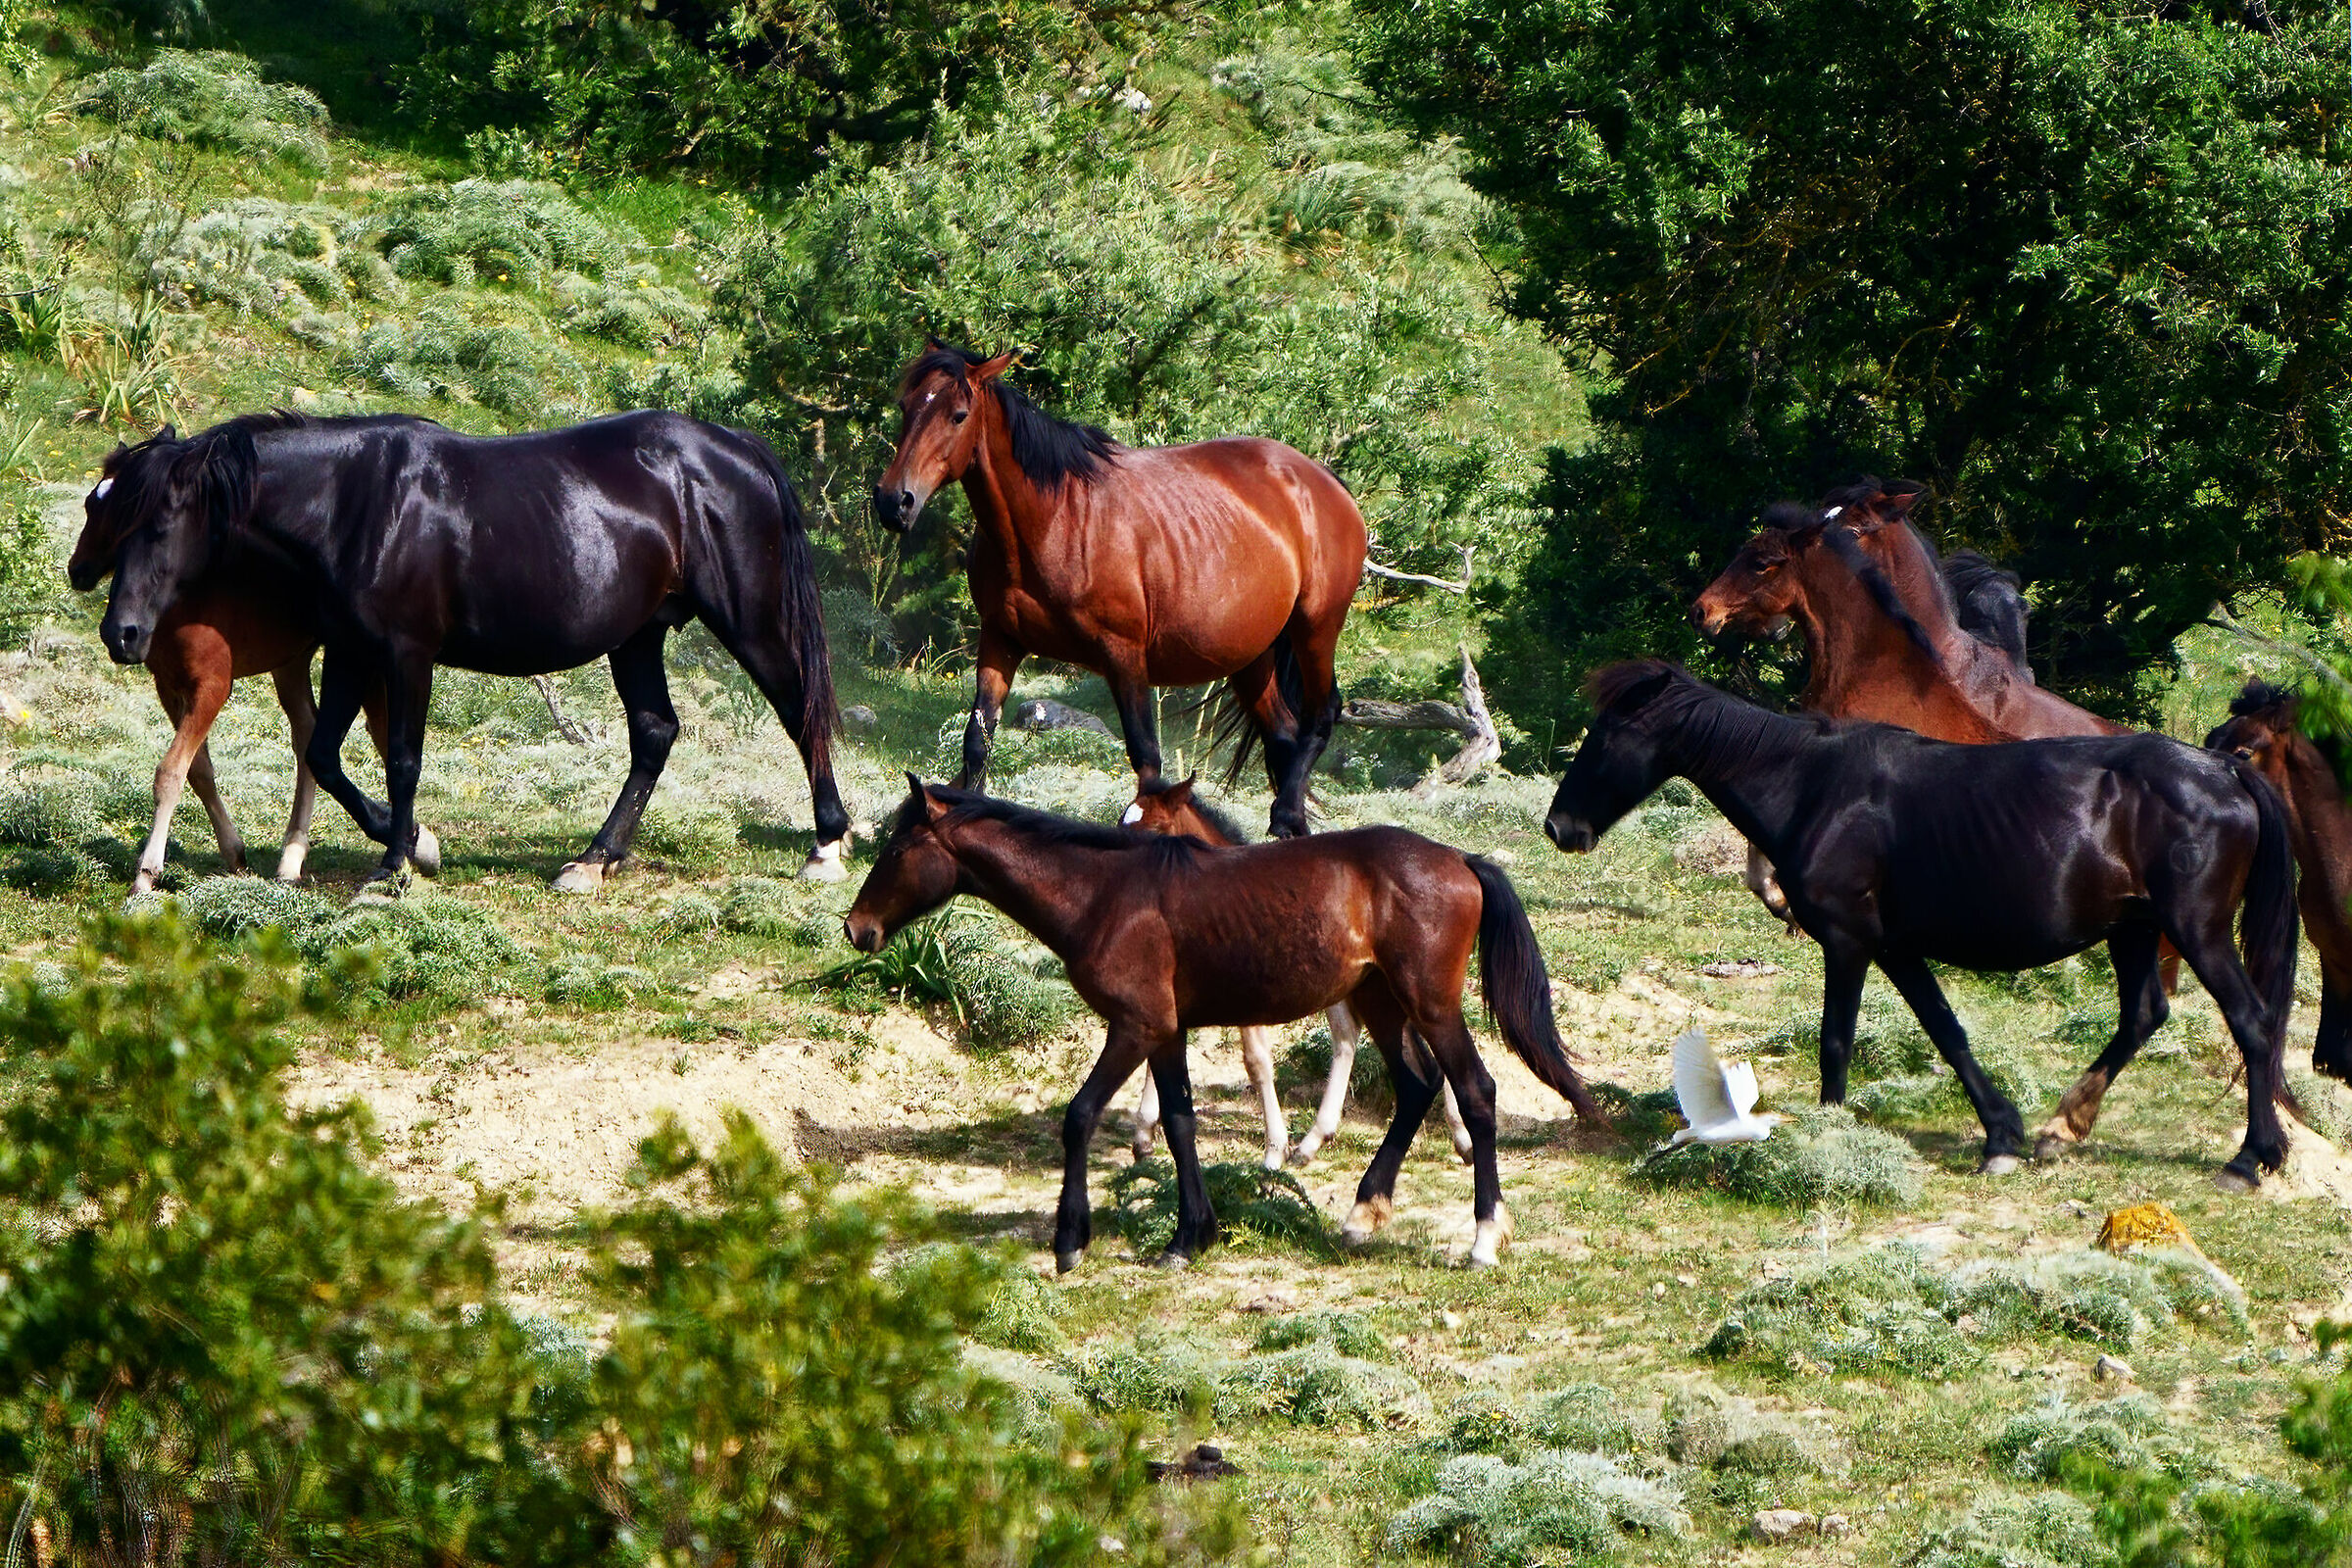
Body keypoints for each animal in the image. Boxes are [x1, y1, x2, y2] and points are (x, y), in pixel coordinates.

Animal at [76, 412, 847, 895]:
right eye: (106, 514)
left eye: (158, 523)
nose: (123, 633)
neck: (358, 502)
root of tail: (735, 448)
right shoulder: (351, 651)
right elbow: (324, 755)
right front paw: (411, 840)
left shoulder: (406, 653)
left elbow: (403, 758)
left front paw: (393, 864)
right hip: (637, 638)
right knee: (655, 733)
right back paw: (593, 860)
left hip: (748, 622)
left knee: (799, 710)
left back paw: (827, 845)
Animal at [873, 343, 1366, 840]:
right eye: (906, 407)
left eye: (958, 415)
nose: (894, 501)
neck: (1054, 519)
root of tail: (1323, 481)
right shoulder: (1000, 639)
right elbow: (977, 741)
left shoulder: (1124, 655)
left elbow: (1147, 760)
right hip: (1250, 655)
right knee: (1283, 735)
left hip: (1315, 628)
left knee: (1322, 714)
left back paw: (1285, 817)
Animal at [1121, 777, 1474, 1168]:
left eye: (1155, 829)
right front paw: (1143, 1135)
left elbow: (1256, 1062)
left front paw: (1273, 1150)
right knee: (1353, 1039)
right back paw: (1317, 1140)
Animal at [1542, 662, 2298, 1190]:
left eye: (1610, 734)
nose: (1559, 827)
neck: (1813, 786)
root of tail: (2225, 772)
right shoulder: (1895, 948)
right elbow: (1946, 1030)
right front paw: (2001, 1138)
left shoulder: (1848, 942)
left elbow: (1836, 1040)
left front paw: (1829, 1136)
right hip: (2134, 929)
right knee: (2144, 1015)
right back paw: (2062, 1127)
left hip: (2196, 930)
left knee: (2252, 1023)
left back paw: (2249, 1158)